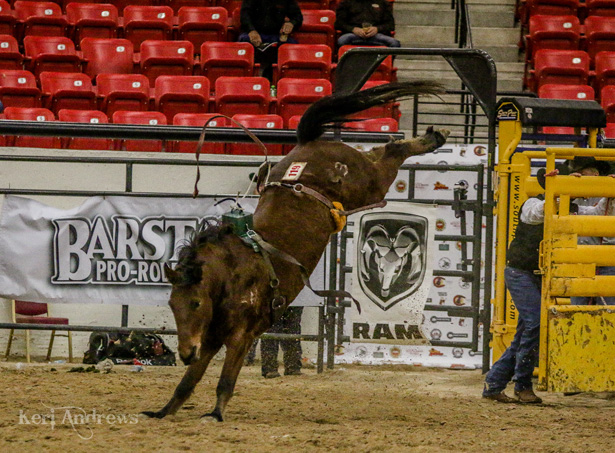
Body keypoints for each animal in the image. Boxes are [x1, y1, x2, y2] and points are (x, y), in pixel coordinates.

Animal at [142, 80, 450, 420]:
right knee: (381, 152)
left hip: (368, 184)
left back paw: (432, 138)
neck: (231, 274)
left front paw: (216, 414)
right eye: (172, 305)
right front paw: (163, 411)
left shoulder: (241, 335)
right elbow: (189, 381)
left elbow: (225, 379)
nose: (185, 353)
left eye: (196, 303)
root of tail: (307, 143)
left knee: (391, 155)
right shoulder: (210, 337)